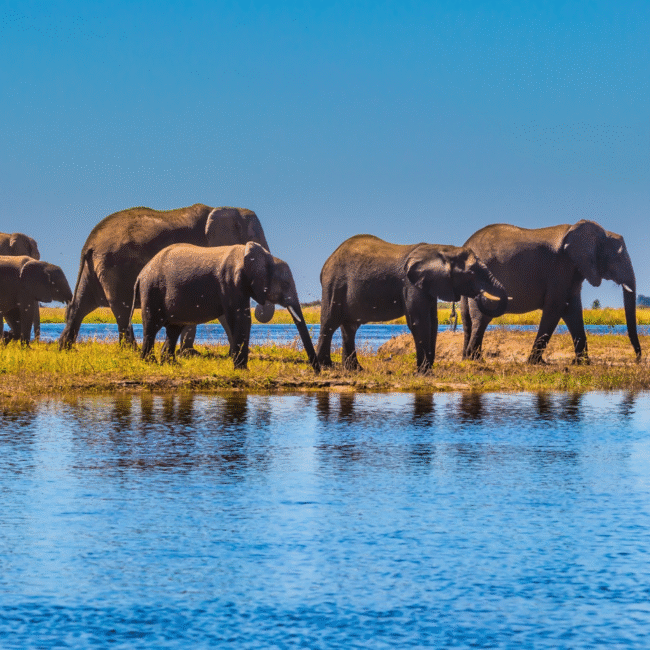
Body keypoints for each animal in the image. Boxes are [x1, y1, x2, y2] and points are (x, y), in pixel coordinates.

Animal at [58, 204, 275, 351]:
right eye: (253, 243)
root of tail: (90, 243)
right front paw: (190, 353)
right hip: (114, 267)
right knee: (123, 308)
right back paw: (131, 350)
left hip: (93, 268)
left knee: (81, 305)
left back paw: (64, 347)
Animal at [132, 241, 320, 372]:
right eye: (286, 283)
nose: (316, 371)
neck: (264, 256)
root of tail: (141, 274)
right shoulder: (230, 282)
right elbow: (241, 318)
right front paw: (242, 370)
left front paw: (241, 369)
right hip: (152, 289)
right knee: (151, 326)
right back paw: (149, 362)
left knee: (173, 329)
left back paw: (171, 364)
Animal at [316, 235, 509, 373]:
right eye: (471, 273)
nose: (480, 295)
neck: (441, 250)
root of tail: (327, 262)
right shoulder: (410, 284)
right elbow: (419, 322)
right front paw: (423, 372)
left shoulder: (429, 285)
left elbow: (433, 323)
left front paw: (428, 370)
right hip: (335, 283)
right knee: (330, 322)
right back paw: (327, 366)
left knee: (349, 327)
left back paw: (355, 370)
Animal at [461, 220, 641, 364]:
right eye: (618, 257)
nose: (637, 359)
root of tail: (466, 244)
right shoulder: (560, 269)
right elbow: (556, 308)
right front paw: (536, 363)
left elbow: (573, 312)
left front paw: (582, 363)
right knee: (482, 318)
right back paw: (476, 359)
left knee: (467, 319)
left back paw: (466, 358)